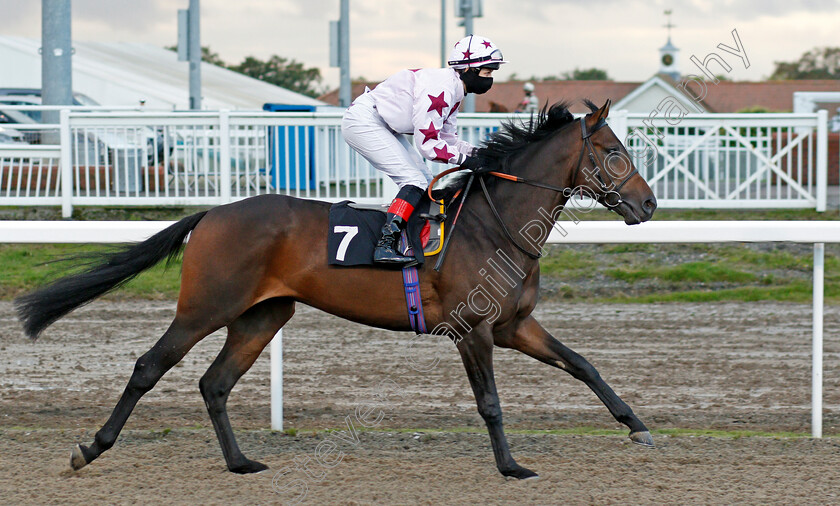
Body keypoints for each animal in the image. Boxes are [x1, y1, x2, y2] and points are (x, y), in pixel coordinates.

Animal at [14, 99, 656, 478]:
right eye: (613, 152)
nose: (648, 204)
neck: (493, 224)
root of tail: (213, 213)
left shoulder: (513, 326)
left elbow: (583, 365)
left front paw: (637, 426)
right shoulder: (473, 330)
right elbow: (491, 403)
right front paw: (512, 466)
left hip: (263, 315)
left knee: (214, 383)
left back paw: (241, 462)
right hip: (205, 307)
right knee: (150, 366)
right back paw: (90, 448)